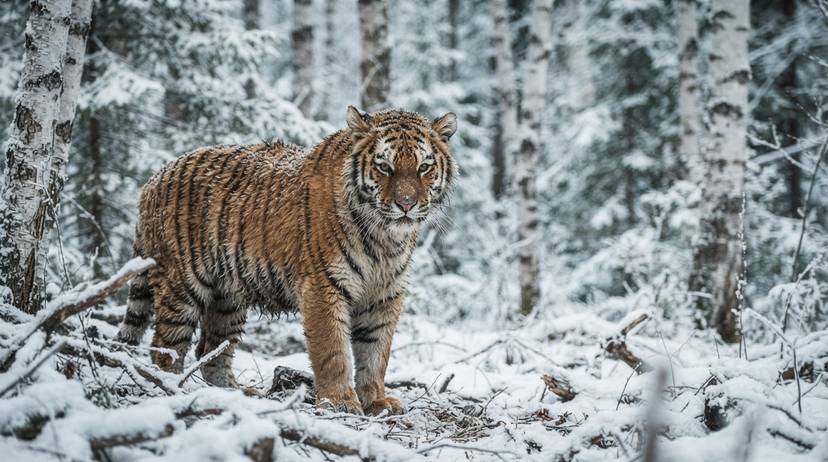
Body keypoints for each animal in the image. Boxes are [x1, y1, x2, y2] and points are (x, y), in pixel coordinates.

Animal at [117, 106, 457, 415]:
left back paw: (236, 396)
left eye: (424, 167)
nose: (406, 205)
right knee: (165, 347)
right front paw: (340, 402)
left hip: (228, 298)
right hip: (182, 285)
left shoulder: (384, 297)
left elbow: (375, 355)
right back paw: (171, 388)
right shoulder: (323, 287)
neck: (385, 238)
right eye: (384, 166)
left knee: (211, 351)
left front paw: (377, 401)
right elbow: (333, 352)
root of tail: (152, 180)